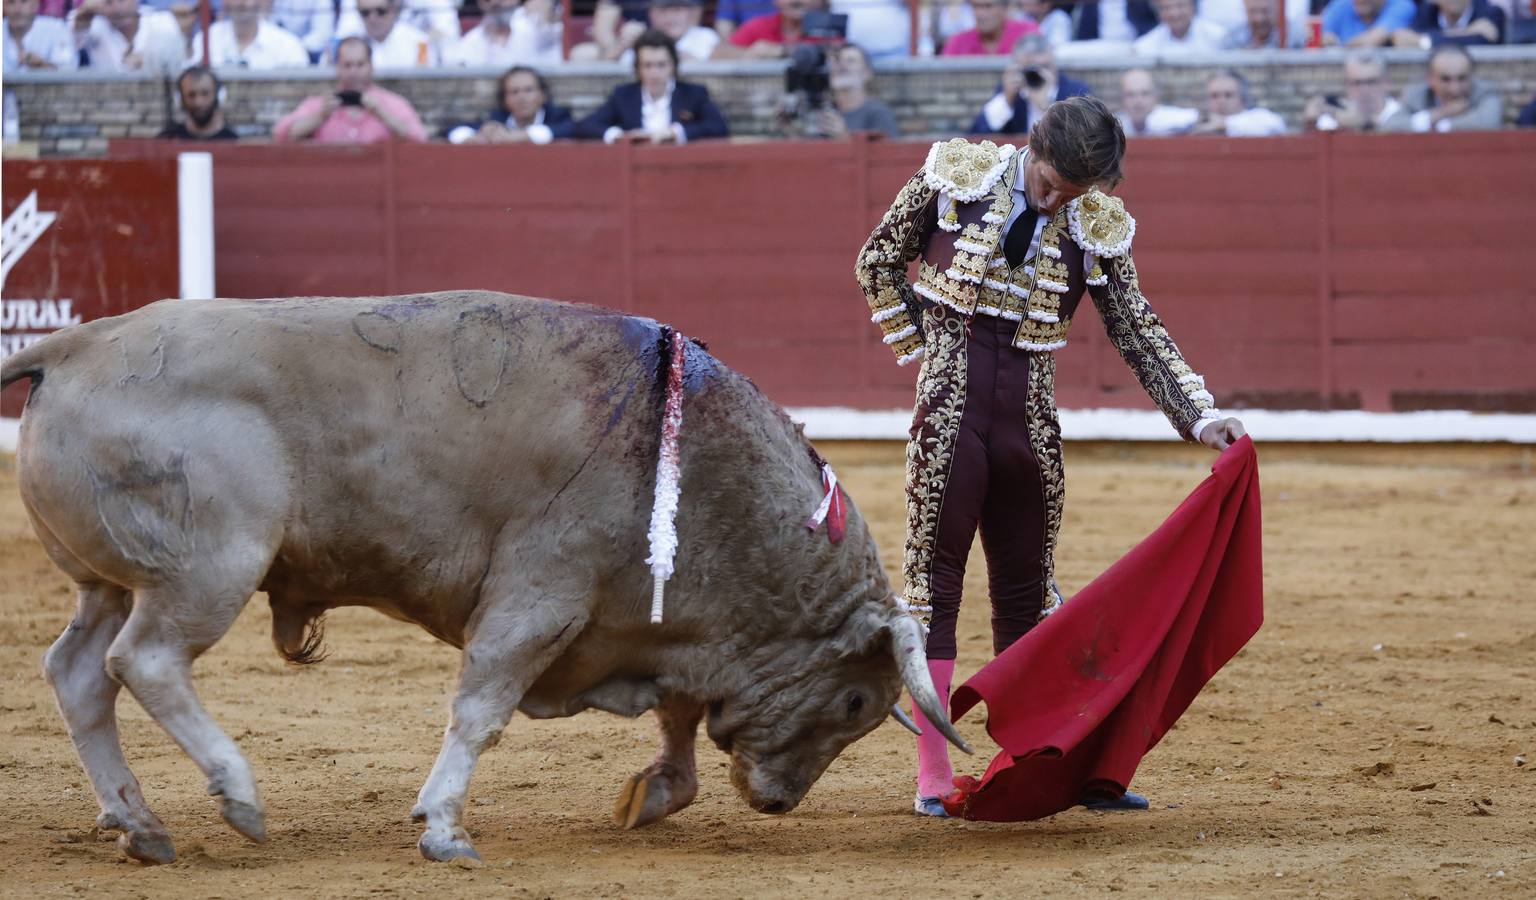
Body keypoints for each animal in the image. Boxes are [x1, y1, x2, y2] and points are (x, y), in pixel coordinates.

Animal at [0, 291, 964, 860]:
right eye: (855, 702)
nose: (776, 803)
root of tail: (77, 344)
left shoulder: (652, 628)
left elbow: (679, 719)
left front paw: (651, 794)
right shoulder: (541, 598)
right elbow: (483, 709)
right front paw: (442, 827)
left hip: (110, 583)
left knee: (78, 672)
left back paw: (140, 823)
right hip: (209, 570)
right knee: (147, 662)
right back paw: (236, 796)